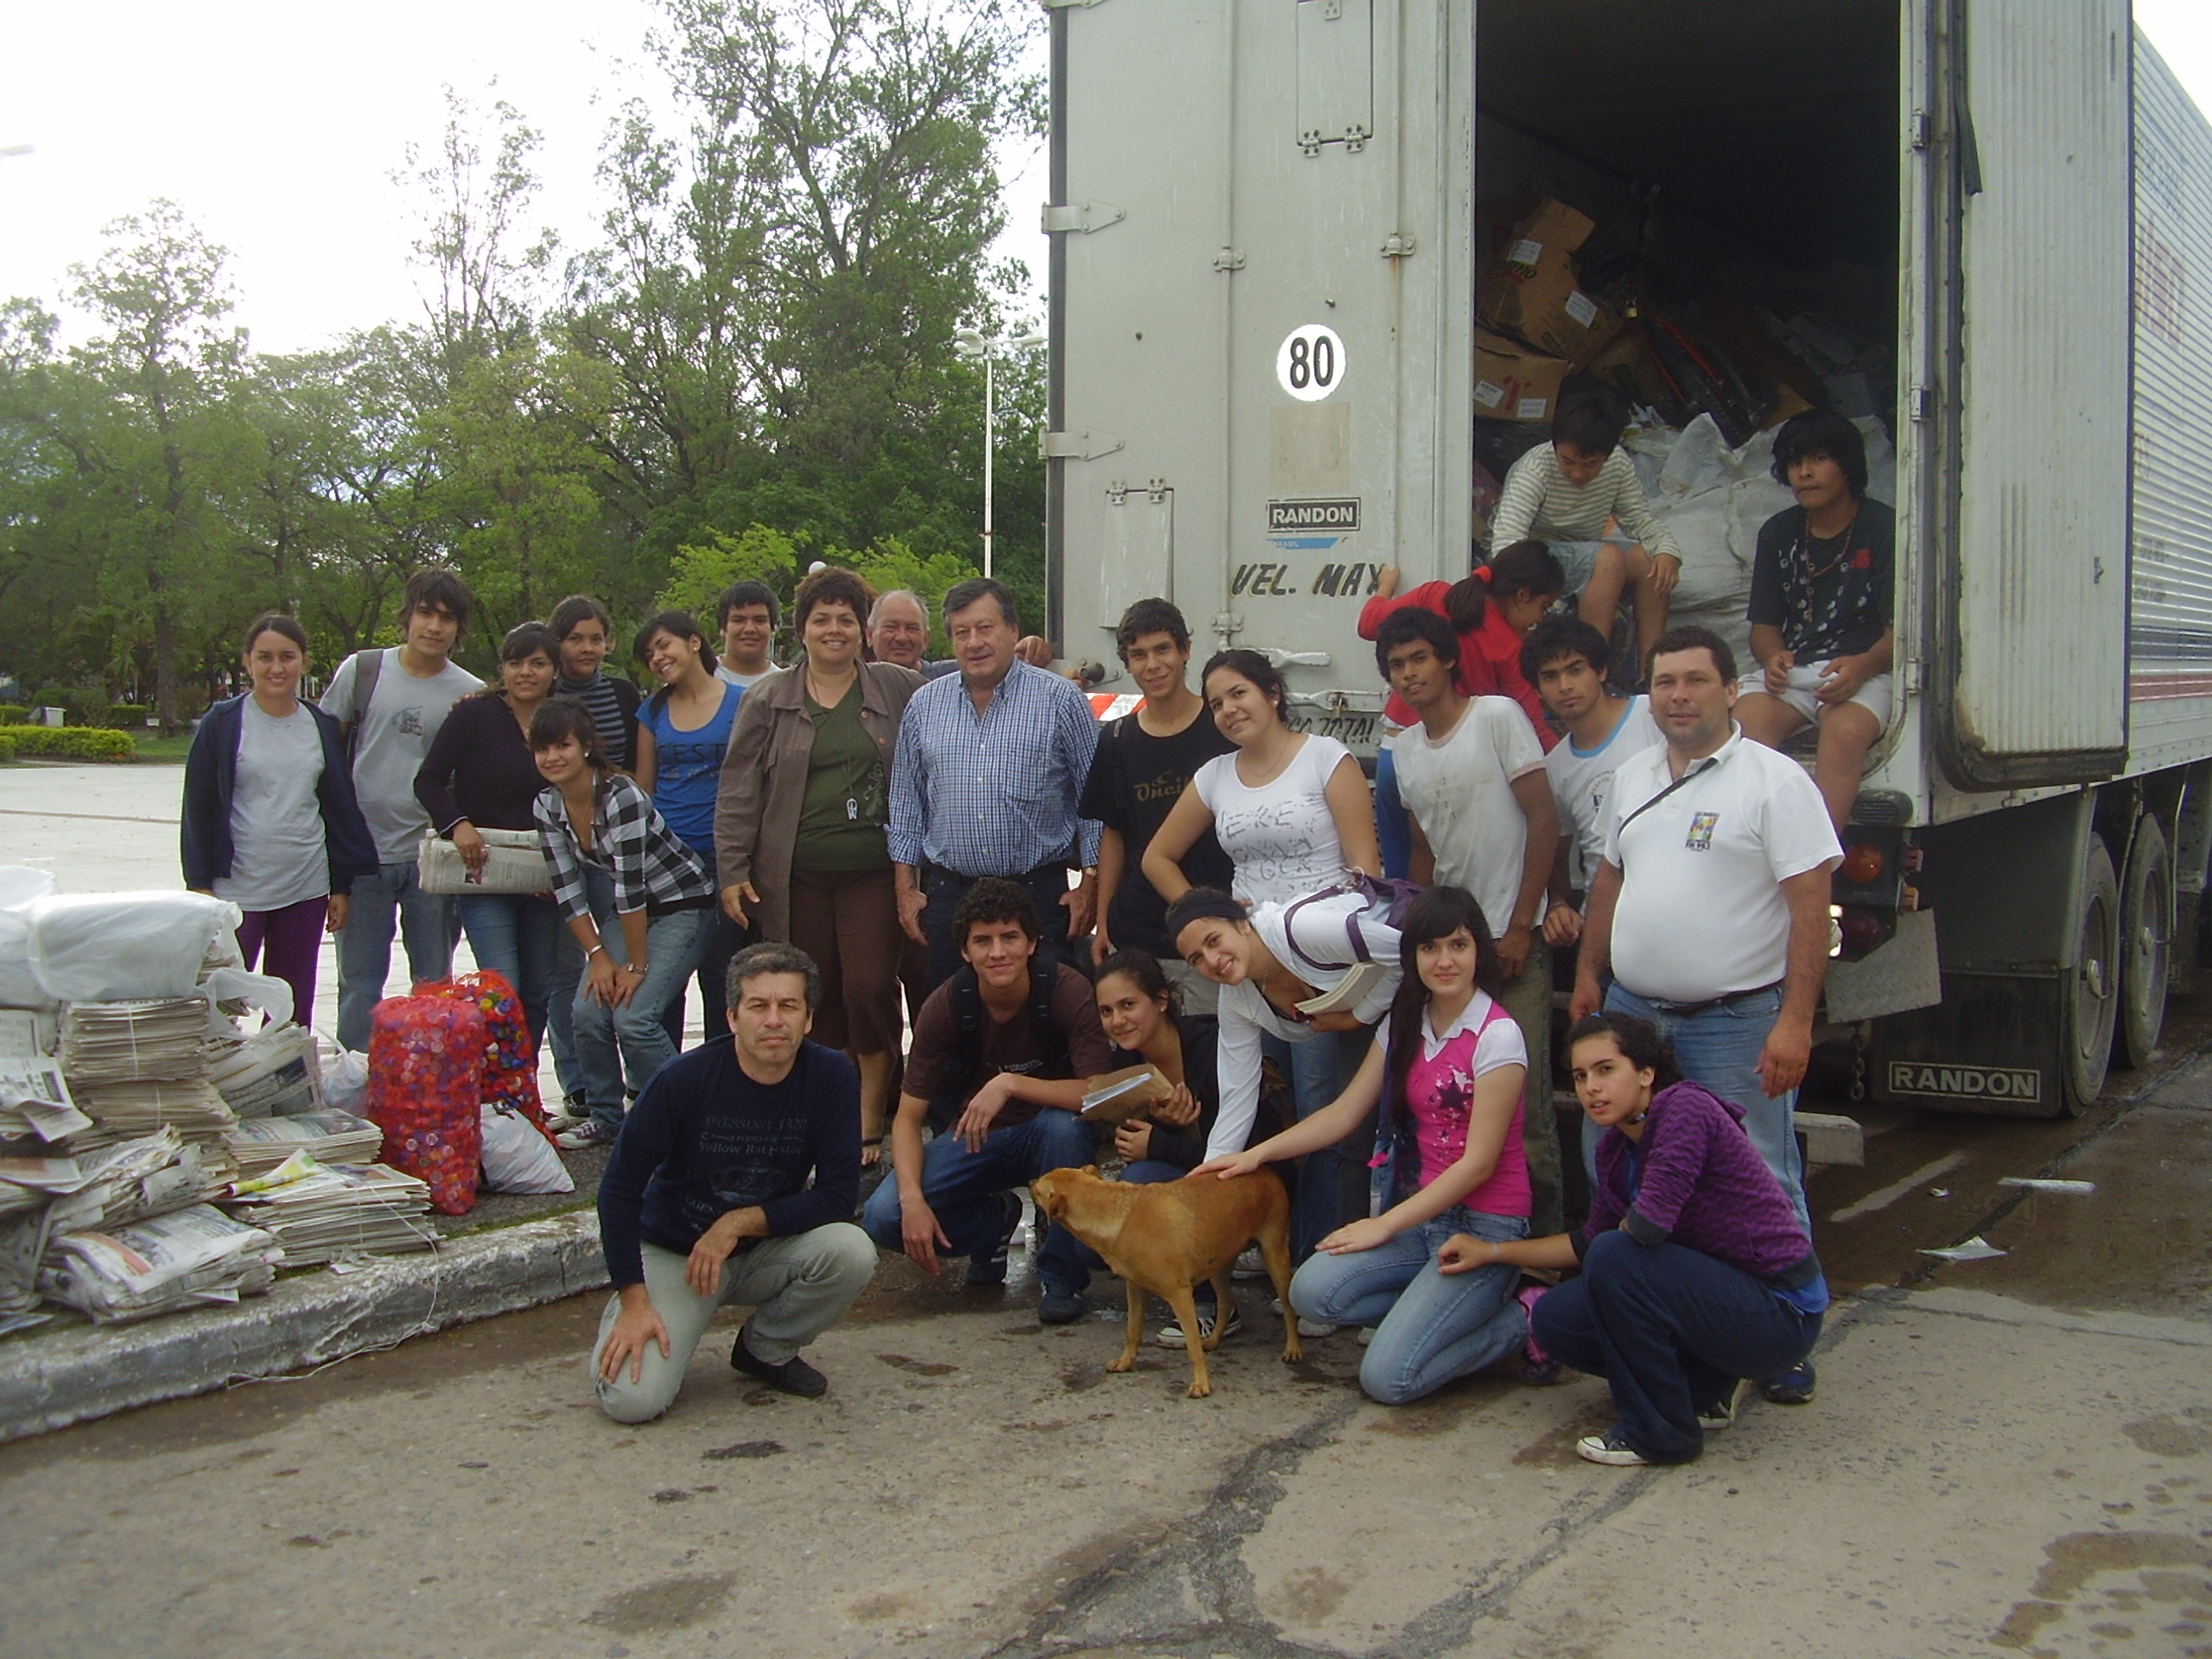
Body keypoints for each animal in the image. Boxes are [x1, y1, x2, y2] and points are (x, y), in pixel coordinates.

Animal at [1030, 1167, 1292, 1407]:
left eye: (1040, 1189)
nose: (1031, 1181)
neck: (1117, 1212)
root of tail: (1266, 1170)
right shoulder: (1135, 1288)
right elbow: (1132, 1331)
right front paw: (1125, 1362)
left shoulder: (1181, 1295)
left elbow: (1193, 1347)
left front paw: (1201, 1383)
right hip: (1218, 1264)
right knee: (1227, 1302)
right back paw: (1214, 1339)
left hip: (1274, 1254)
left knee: (1289, 1309)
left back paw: (1293, 1349)